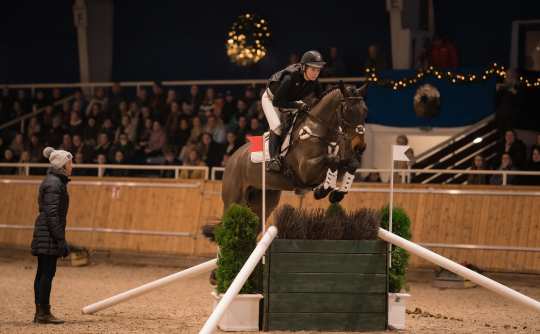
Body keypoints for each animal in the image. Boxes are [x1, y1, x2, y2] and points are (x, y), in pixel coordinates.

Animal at [221, 82, 370, 222]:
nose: (359, 147)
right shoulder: (306, 170)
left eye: (365, 110)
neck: (318, 129)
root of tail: (233, 158)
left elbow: (351, 164)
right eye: (346, 110)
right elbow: (333, 160)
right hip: (233, 200)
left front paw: (337, 193)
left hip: (264, 200)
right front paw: (322, 191)